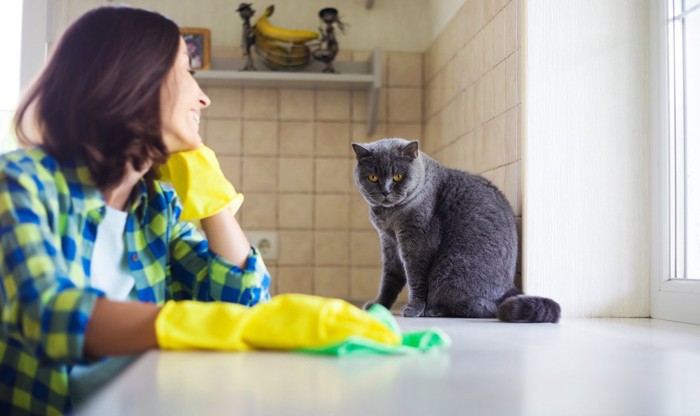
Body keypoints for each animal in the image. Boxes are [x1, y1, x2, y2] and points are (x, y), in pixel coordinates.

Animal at [352, 138, 560, 324]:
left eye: (398, 177)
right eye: (372, 177)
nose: (385, 192)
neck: (389, 217)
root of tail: (510, 287)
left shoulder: (417, 242)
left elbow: (415, 277)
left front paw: (414, 308)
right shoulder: (389, 242)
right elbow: (390, 278)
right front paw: (379, 305)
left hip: (450, 269)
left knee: (485, 308)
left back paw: (434, 311)